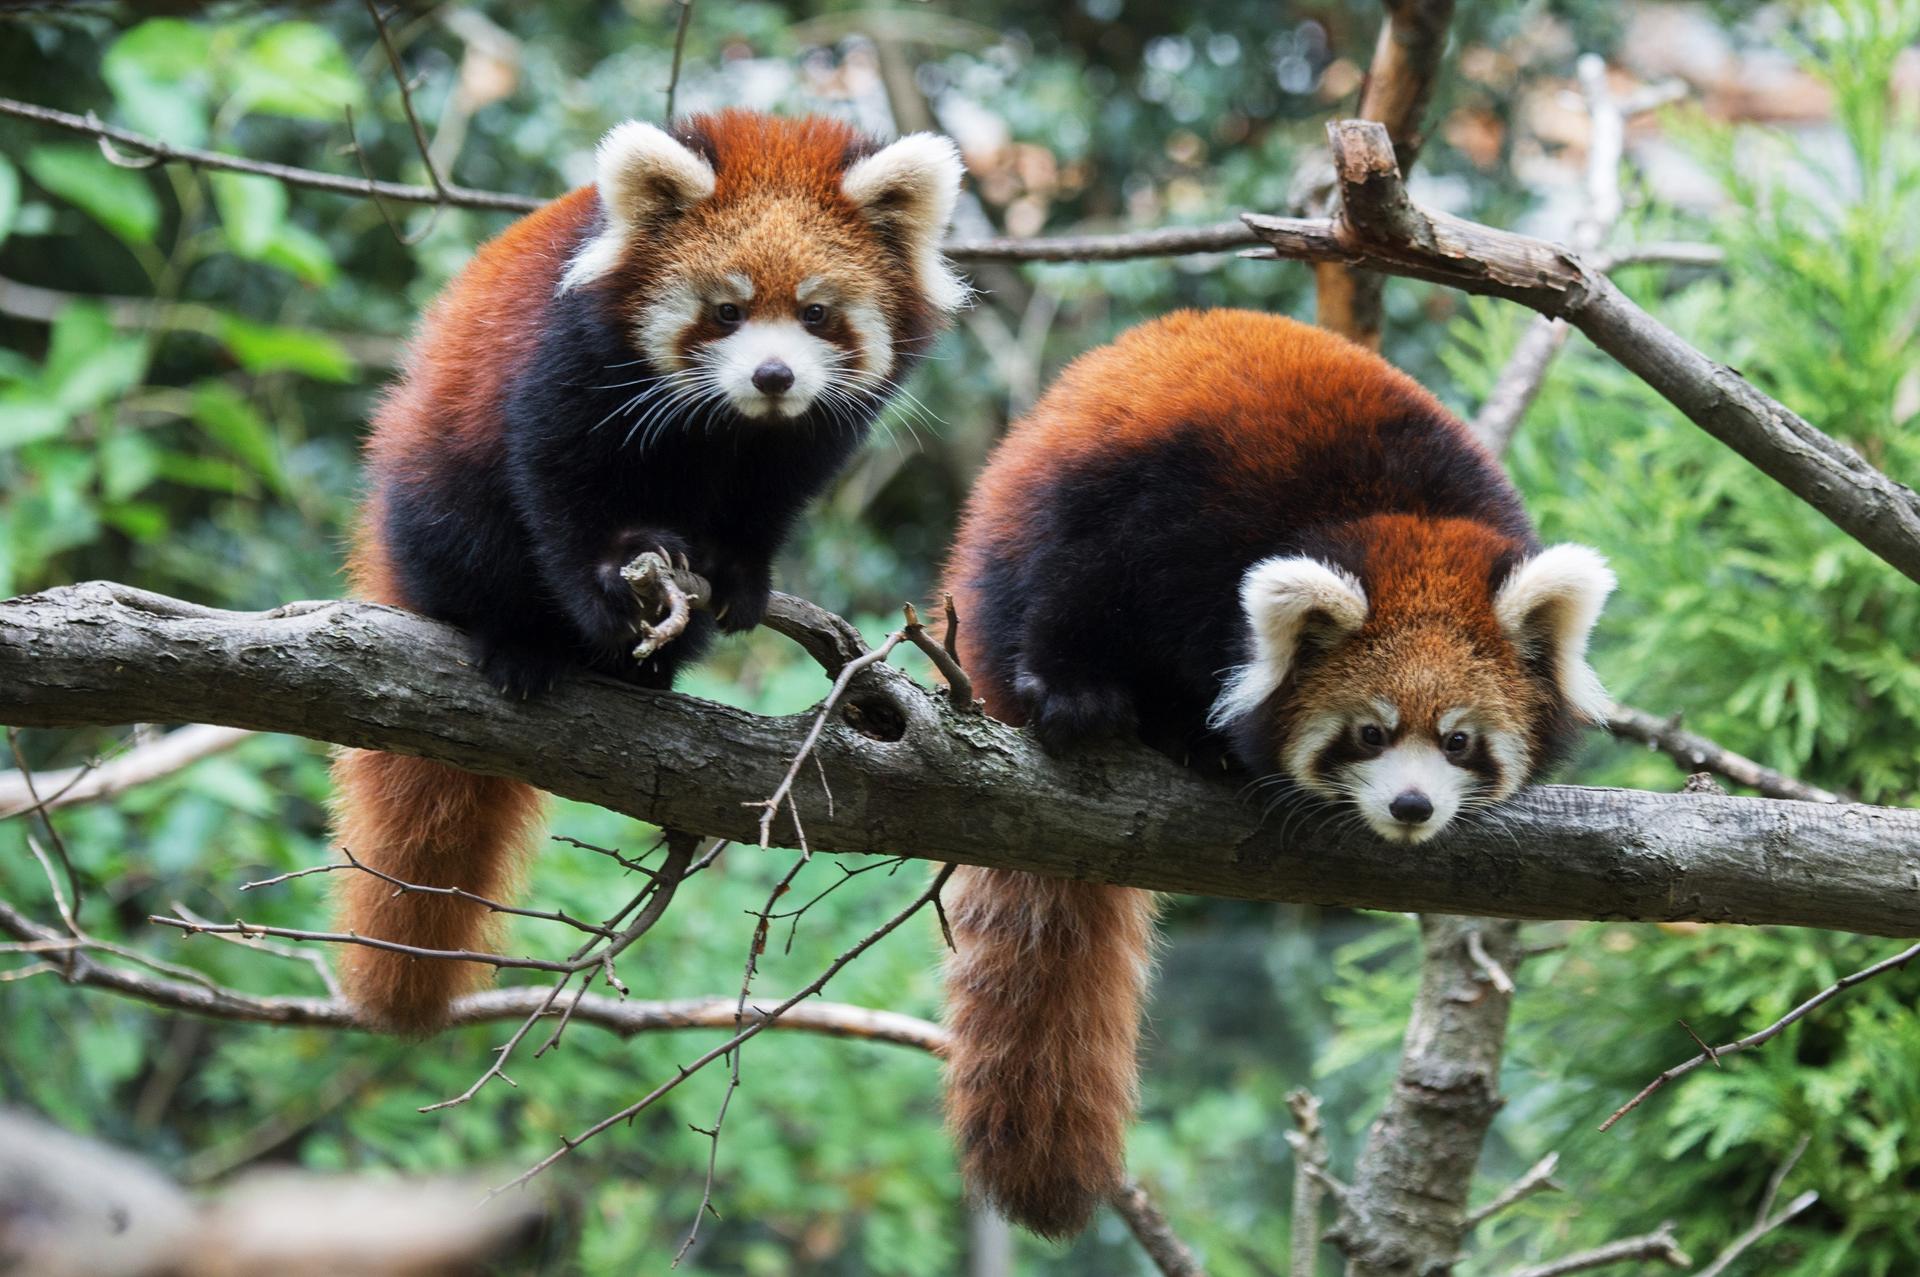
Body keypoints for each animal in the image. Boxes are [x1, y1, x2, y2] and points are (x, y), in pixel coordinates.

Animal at [336, 107, 967, 1029]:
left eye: (816, 312)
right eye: (727, 310)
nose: (773, 375)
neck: (731, 424)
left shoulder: (805, 437)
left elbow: (766, 503)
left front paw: (735, 578)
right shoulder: (572, 365)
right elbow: (561, 481)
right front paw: (607, 591)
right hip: (435, 476)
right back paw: (518, 641)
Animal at [936, 309, 1612, 1236]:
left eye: (1459, 742)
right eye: (1369, 733)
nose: (1411, 806)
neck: (1392, 513)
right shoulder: (1176, 508)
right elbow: (1086, 578)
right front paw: (1073, 692)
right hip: (1020, 521)